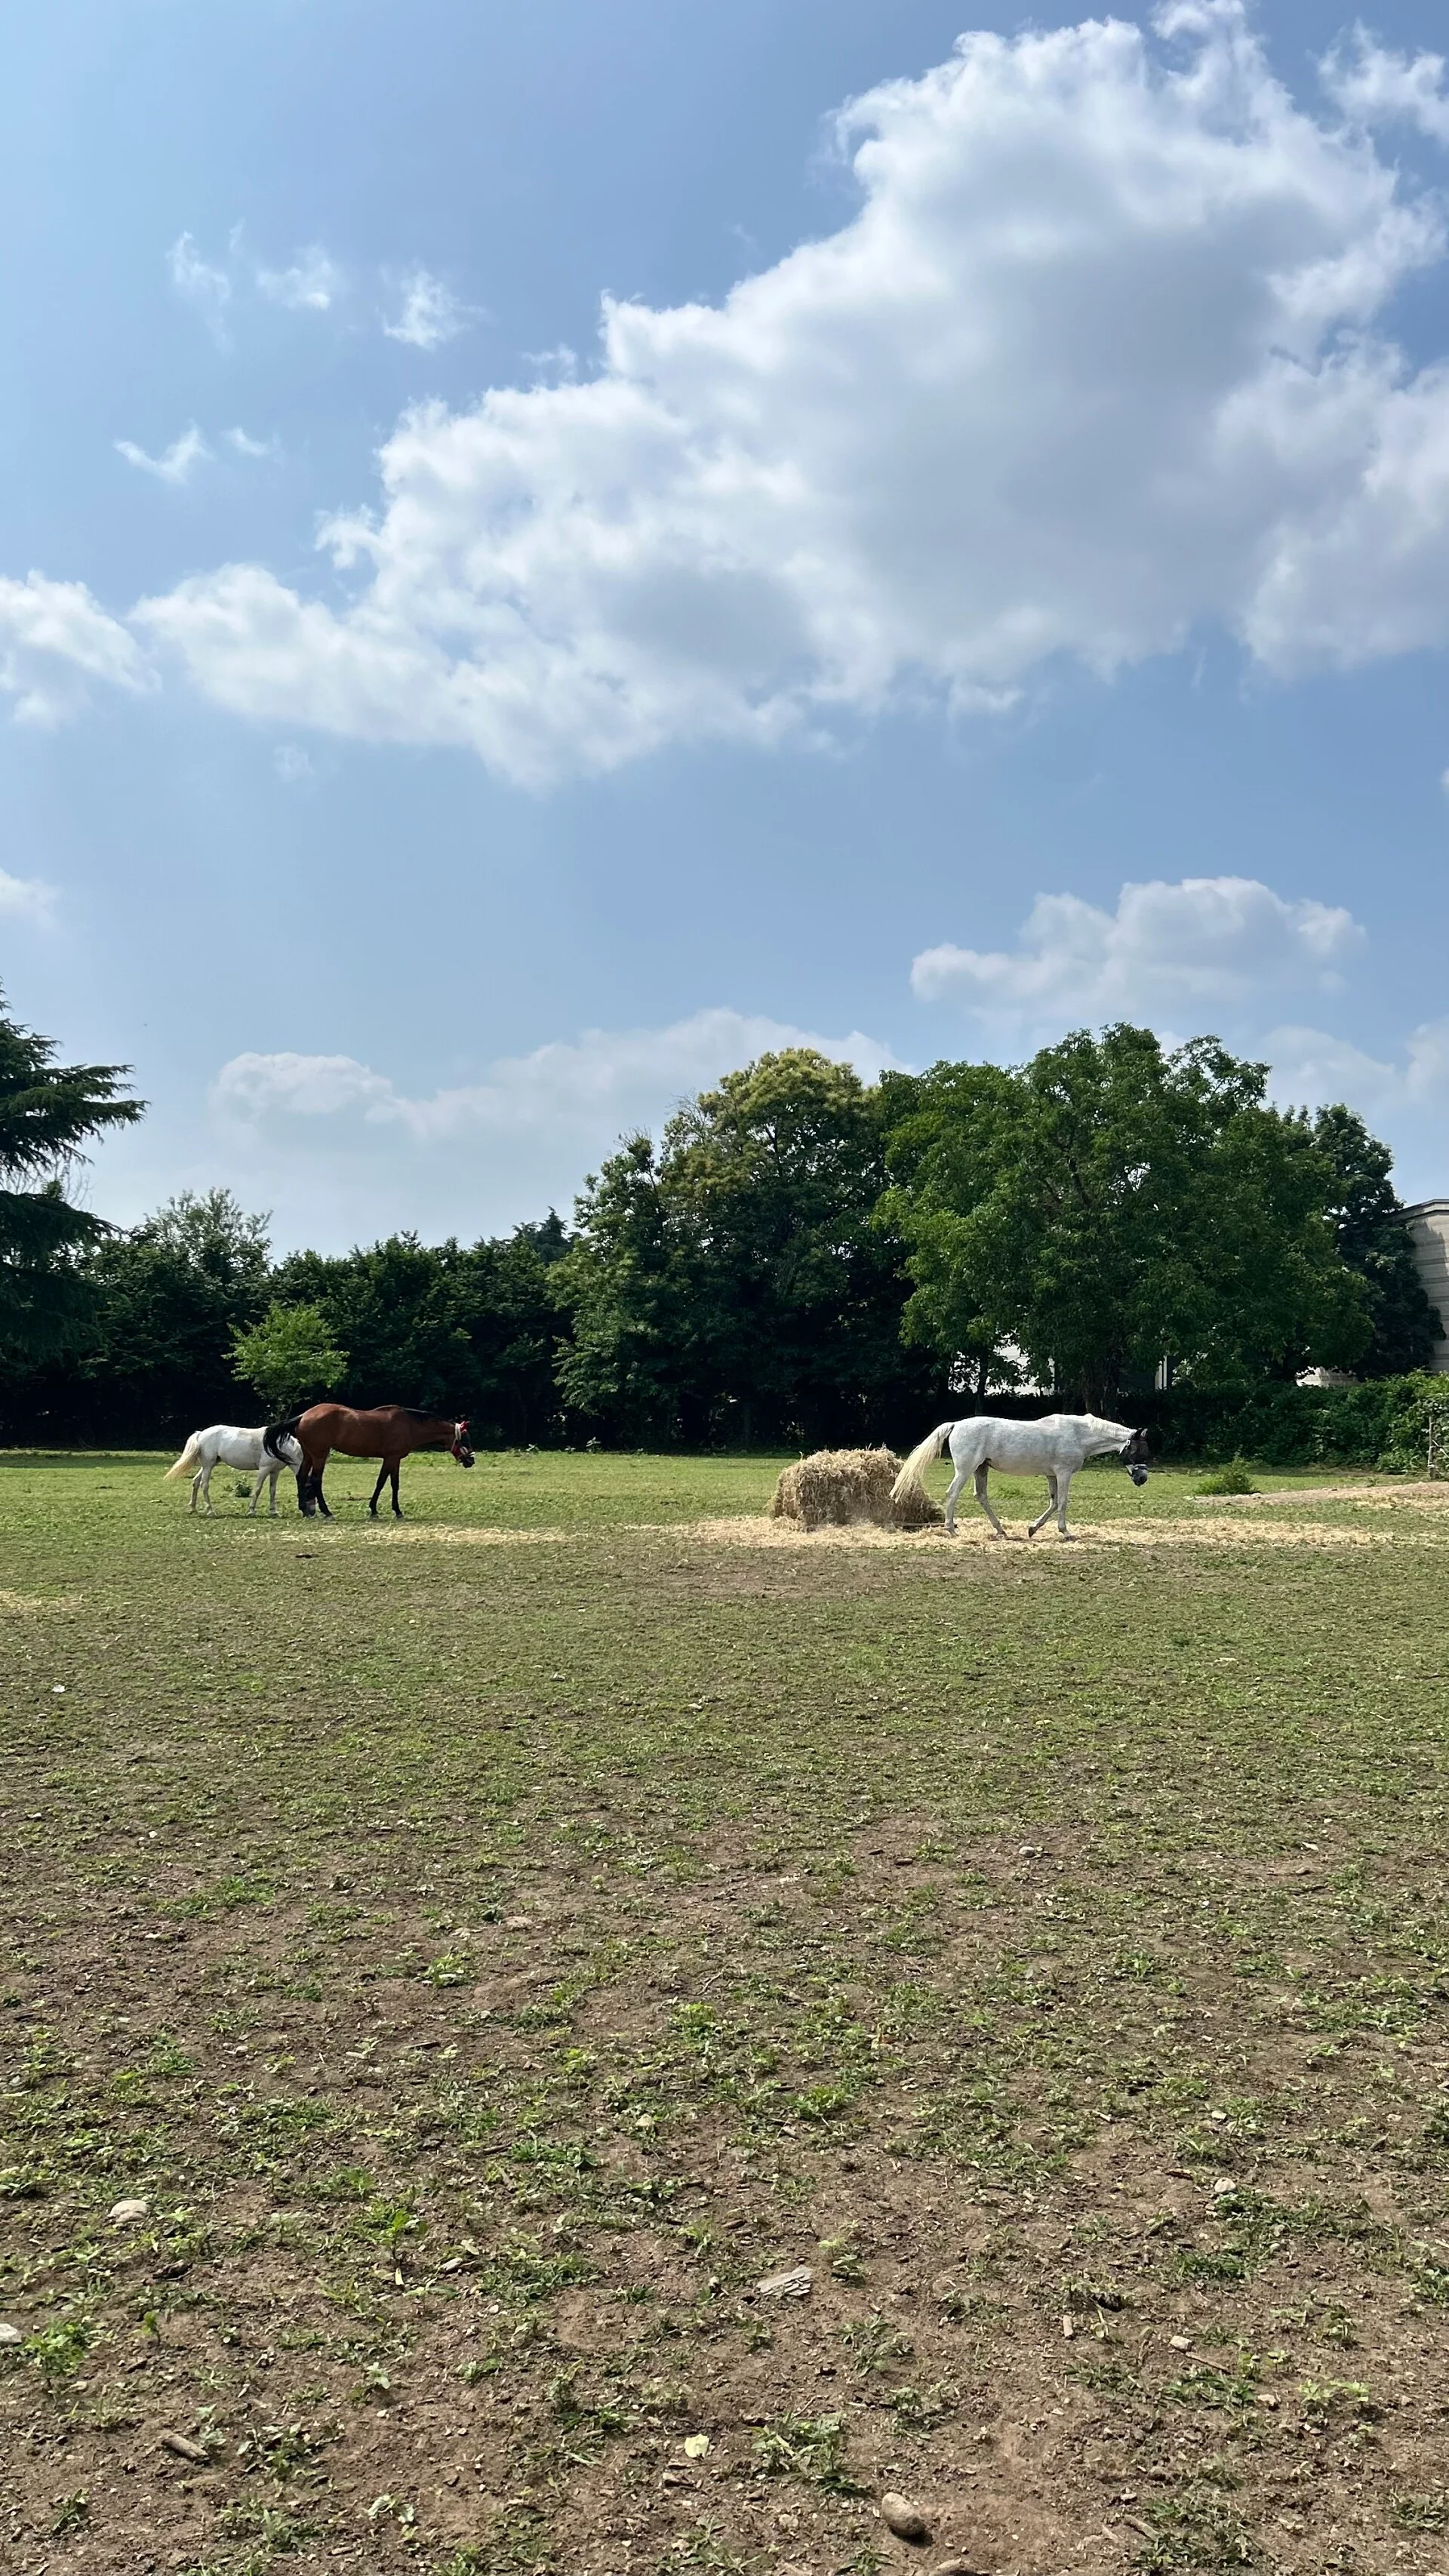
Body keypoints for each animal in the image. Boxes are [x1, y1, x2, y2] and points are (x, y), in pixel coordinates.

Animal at [163, 1423, 304, 1518]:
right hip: (208, 1466)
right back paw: (210, 1511)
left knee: (196, 1482)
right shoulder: (264, 1469)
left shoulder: (275, 1471)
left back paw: (193, 1508)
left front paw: (274, 1512)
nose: (308, 1514)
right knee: (204, 1485)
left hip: (209, 1465)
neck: (279, 1445)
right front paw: (251, 1511)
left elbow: (272, 1491)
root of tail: (201, 1433)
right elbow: (257, 1489)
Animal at [268, 1403, 475, 1519]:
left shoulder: (394, 1460)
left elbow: (391, 1484)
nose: (471, 1461)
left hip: (310, 1455)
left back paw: (305, 1510)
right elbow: (384, 1483)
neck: (409, 1425)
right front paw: (384, 1510)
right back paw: (326, 1512)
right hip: (320, 1456)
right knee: (316, 1481)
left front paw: (387, 1509)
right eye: (465, 1439)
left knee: (302, 1477)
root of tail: (304, 1416)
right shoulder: (391, 1458)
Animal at [891, 1413, 1150, 1541]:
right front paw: (1066, 1533)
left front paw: (1032, 1529)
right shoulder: (1063, 1473)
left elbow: (1053, 1503)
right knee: (953, 1494)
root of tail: (956, 1425)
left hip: (981, 1469)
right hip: (966, 1469)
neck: (1079, 1434)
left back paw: (1000, 1530)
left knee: (981, 1496)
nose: (1143, 1479)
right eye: (1139, 1451)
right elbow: (1063, 1503)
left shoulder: (1051, 1475)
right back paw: (952, 1530)